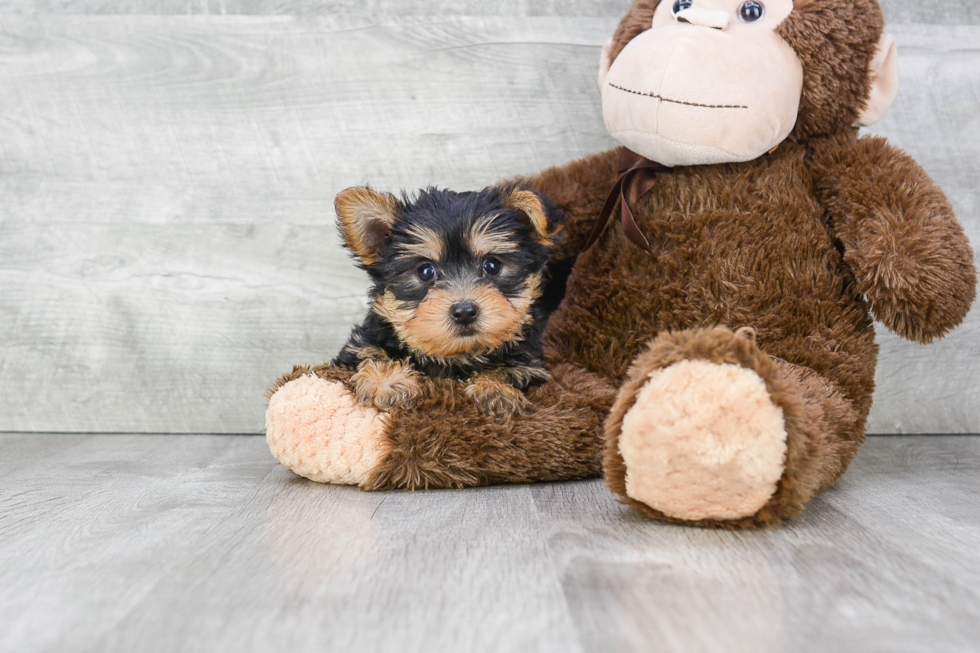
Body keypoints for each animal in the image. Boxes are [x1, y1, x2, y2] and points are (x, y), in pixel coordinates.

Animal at [334, 183, 564, 418]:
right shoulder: (364, 341)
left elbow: (511, 369)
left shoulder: (531, 362)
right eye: (425, 271)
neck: (456, 356)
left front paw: (495, 389)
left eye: (492, 265)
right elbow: (372, 351)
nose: (464, 311)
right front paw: (386, 382)